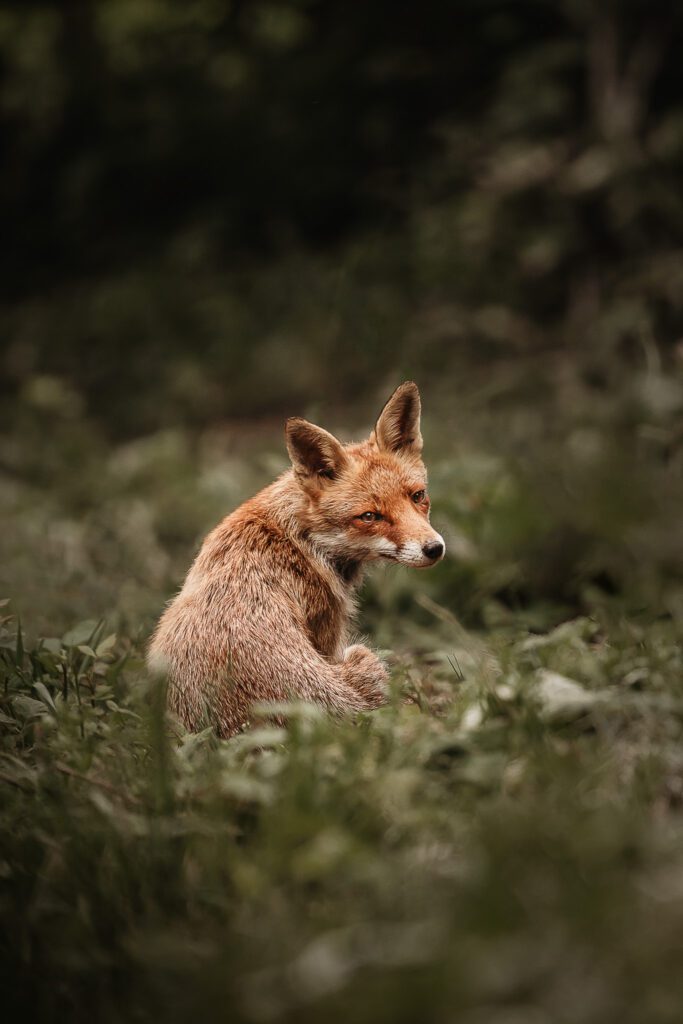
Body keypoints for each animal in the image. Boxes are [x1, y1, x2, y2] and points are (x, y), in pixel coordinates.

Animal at [148, 381, 445, 737]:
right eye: (370, 516)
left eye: (418, 496)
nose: (434, 548)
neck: (299, 538)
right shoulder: (327, 632)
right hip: (359, 657)